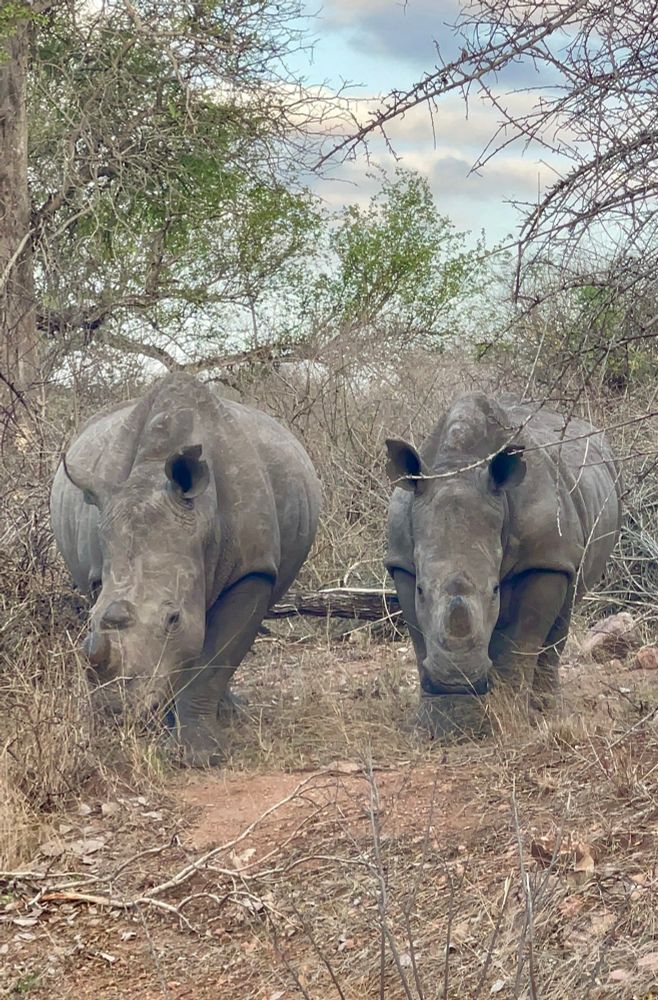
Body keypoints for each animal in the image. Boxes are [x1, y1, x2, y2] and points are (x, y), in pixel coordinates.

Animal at [50, 373, 321, 763]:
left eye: (173, 618)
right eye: (91, 615)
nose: (112, 709)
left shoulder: (253, 570)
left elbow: (214, 660)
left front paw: (201, 754)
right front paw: (165, 728)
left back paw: (228, 714)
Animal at [385, 392, 621, 735]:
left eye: (495, 590)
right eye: (420, 591)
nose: (457, 681)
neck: (458, 467)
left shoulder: (542, 559)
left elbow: (521, 638)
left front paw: (506, 717)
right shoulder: (402, 560)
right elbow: (419, 637)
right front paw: (436, 724)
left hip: (565, 541)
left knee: (564, 608)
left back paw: (544, 708)